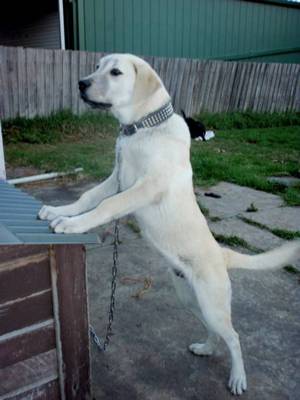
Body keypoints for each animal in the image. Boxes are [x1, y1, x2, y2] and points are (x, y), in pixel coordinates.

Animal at [38, 52, 298, 394]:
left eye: (116, 72)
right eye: (96, 67)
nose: (81, 84)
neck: (141, 130)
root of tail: (222, 255)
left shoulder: (144, 188)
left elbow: (107, 206)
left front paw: (71, 225)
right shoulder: (115, 179)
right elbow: (88, 196)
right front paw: (59, 211)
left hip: (212, 303)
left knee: (234, 337)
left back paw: (238, 377)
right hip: (190, 299)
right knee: (217, 334)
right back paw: (206, 348)